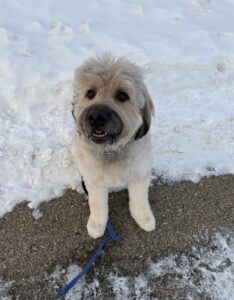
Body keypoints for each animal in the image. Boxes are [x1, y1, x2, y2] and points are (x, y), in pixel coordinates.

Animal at [71, 52, 155, 238]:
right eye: (90, 93)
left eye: (122, 96)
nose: (96, 116)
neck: (111, 150)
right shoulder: (93, 181)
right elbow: (98, 205)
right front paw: (96, 225)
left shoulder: (139, 175)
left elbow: (139, 201)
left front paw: (144, 219)